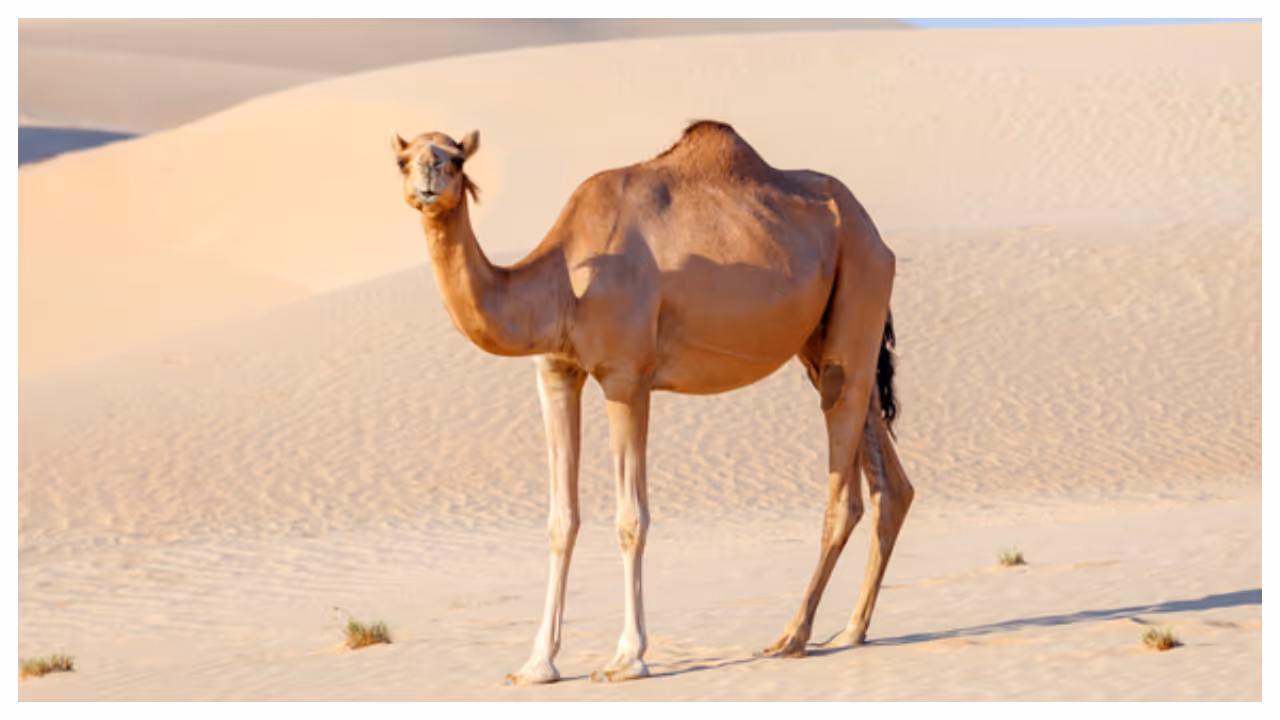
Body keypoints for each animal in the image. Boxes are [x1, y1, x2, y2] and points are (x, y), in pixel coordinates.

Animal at [391, 121, 914, 685]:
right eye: (402, 159)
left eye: (457, 158)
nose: (429, 177)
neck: (563, 283)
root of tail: (874, 232)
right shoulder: (555, 372)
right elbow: (560, 519)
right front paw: (536, 664)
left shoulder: (627, 377)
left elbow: (630, 519)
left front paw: (627, 658)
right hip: (823, 340)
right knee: (889, 480)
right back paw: (851, 630)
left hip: (858, 285)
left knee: (845, 487)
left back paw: (792, 638)